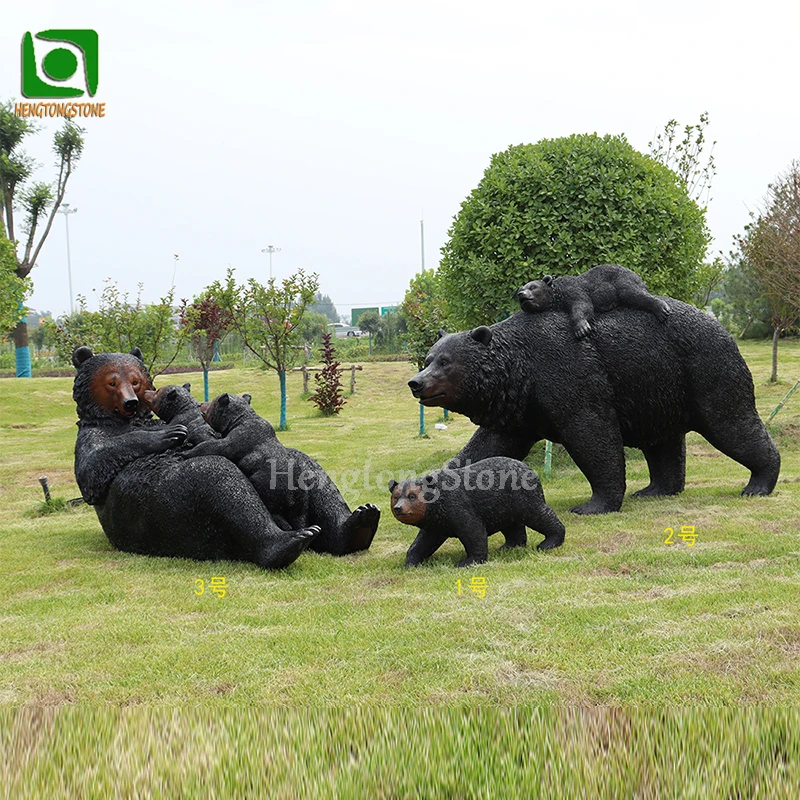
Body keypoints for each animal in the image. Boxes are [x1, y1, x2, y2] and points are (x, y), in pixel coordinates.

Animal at [72, 346, 319, 569]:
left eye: (135, 381)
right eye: (112, 383)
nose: (133, 400)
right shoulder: (93, 435)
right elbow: (92, 471)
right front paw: (167, 436)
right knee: (214, 475)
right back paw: (293, 538)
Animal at [181, 392, 380, 556]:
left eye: (212, 402)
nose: (201, 404)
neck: (240, 419)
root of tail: (294, 493)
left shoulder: (238, 439)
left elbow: (215, 446)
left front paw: (187, 451)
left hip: (269, 484)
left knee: (272, 508)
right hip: (301, 500)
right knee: (299, 516)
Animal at [389, 457, 565, 567]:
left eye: (412, 496)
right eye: (396, 497)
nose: (399, 508)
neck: (436, 505)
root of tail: (530, 469)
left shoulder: (456, 506)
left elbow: (473, 530)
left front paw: (467, 561)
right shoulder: (436, 521)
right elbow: (425, 540)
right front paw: (412, 561)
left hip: (522, 496)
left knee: (537, 513)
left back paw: (549, 542)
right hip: (503, 505)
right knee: (512, 525)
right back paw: (508, 546)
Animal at [407, 302, 780, 514]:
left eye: (445, 362)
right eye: (428, 358)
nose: (416, 382)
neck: (518, 369)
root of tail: (723, 328)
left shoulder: (569, 373)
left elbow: (592, 434)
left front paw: (592, 505)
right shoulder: (518, 410)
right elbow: (487, 446)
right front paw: (438, 479)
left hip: (705, 371)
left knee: (730, 422)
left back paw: (758, 484)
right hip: (659, 389)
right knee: (663, 442)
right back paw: (655, 489)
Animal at [516, 264, 671, 338]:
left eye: (532, 287)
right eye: (520, 289)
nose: (521, 294)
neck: (558, 294)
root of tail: (637, 275)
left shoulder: (573, 289)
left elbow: (584, 305)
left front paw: (581, 328)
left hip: (622, 280)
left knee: (633, 293)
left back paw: (661, 309)